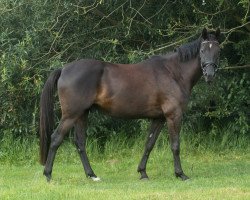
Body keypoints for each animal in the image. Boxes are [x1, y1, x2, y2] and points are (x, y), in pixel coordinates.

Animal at [39, 27, 221, 182]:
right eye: (202, 50)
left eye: (218, 51)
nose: (210, 75)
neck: (173, 73)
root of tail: (63, 69)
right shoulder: (173, 115)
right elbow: (175, 145)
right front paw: (180, 174)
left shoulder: (159, 118)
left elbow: (149, 144)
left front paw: (143, 173)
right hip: (71, 115)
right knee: (56, 138)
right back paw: (48, 175)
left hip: (81, 114)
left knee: (80, 143)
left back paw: (92, 175)